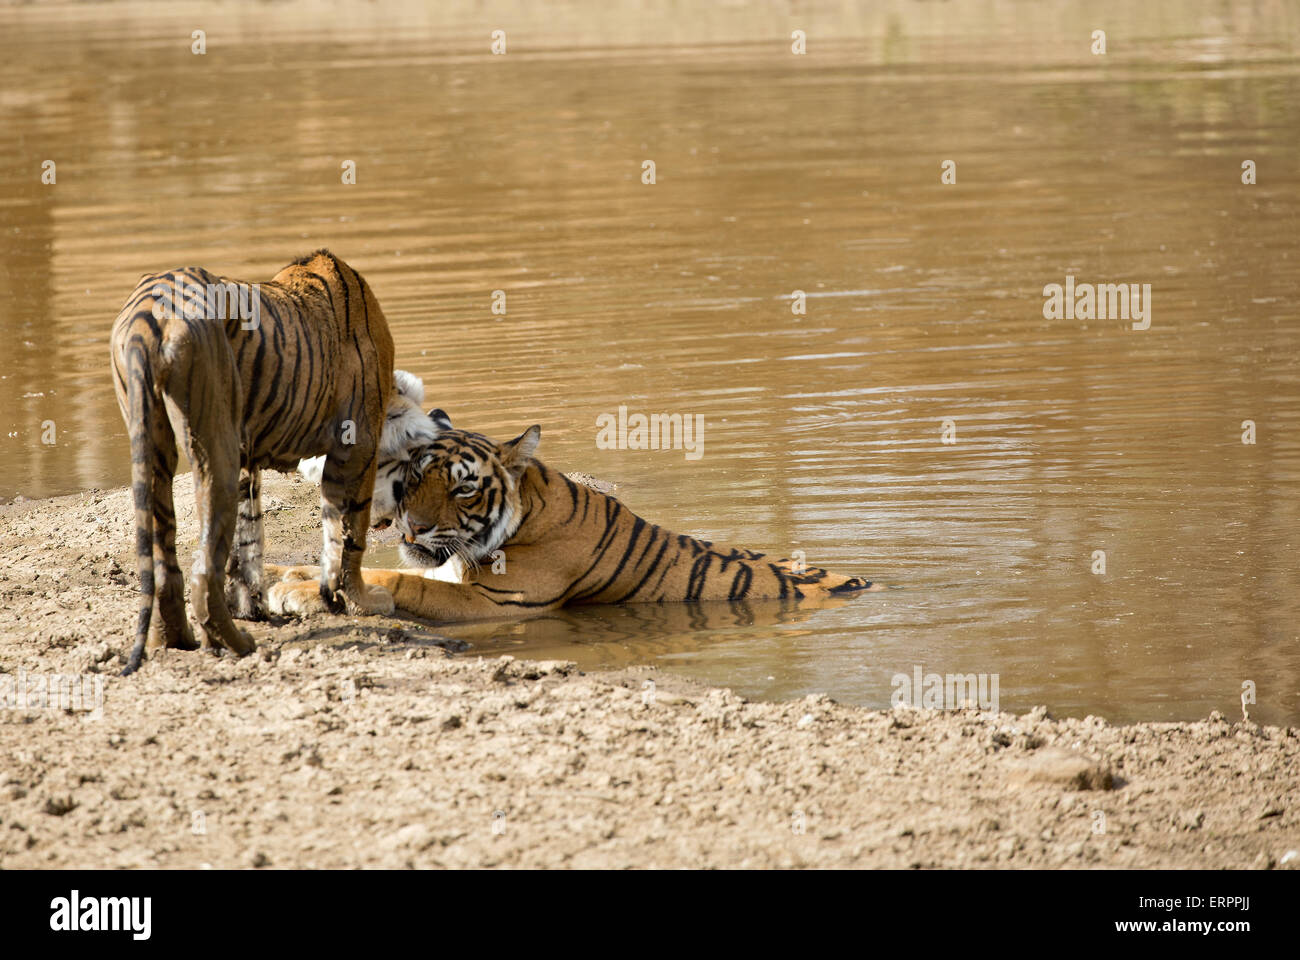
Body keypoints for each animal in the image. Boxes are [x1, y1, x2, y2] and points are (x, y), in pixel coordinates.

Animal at [109, 244, 392, 671]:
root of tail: (147, 316)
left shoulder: (249, 457)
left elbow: (249, 541)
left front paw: (254, 604)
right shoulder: (359, 442)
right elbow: (349, 533)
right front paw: (359, 600)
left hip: (153, 440)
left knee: (166, 559)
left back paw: (174, 640)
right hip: (214, 447)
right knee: (203, 570)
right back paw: (237, 644)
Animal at [271, 413, 883, 621]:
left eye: (464, 489)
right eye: (415, 479)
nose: (414, 528)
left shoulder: (497, 601)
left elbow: (400, 580)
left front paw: (294, 593)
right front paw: (288, 578)